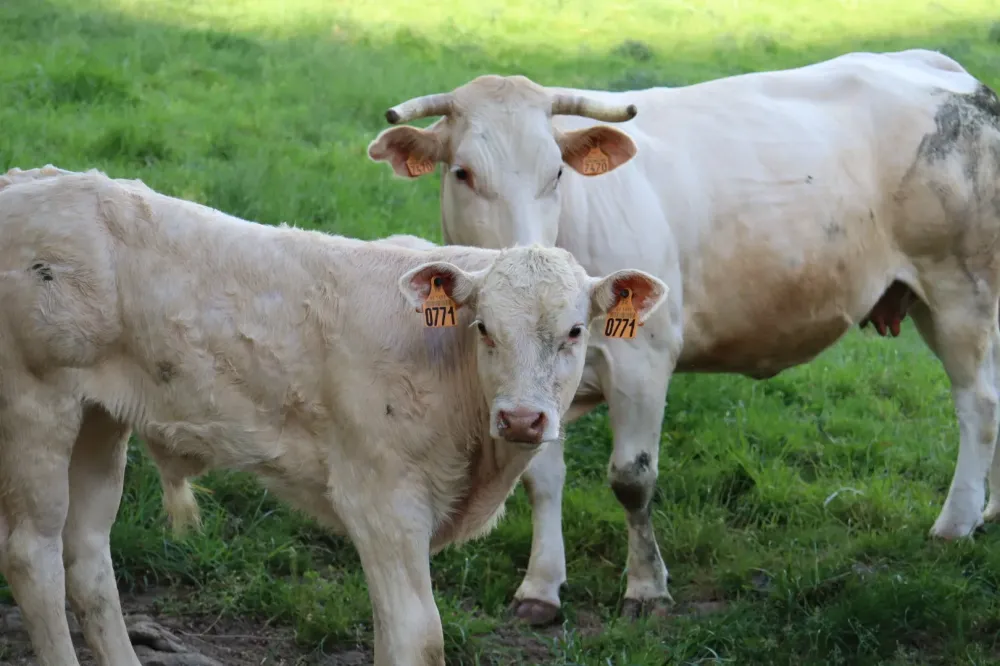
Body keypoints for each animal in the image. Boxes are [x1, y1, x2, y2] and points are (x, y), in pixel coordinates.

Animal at [0, 166, 669, 666]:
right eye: (484, 328)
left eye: (575, 331)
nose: (523, 419)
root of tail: (29, 180)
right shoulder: (381, 502)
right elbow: (418, 637)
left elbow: (392, 635)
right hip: (35, 408)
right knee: (33, 556)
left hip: (97, 419)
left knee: (88, 556)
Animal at [367, 48, 1000, 625]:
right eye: (463, 173)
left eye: (557, 173)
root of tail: (946, 70)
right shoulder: (529, 388)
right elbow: (542, 477)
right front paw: (541, 587)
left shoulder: (642, 360)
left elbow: (632, 479)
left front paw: (648, 589)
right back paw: (989, 513)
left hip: (960, 287)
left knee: (979, 404)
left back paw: (956, 521)